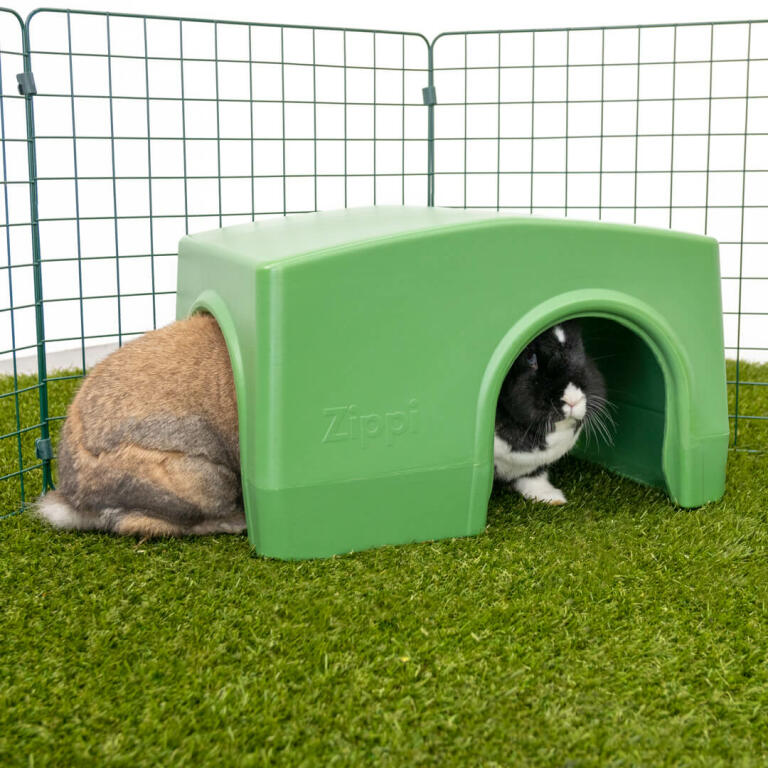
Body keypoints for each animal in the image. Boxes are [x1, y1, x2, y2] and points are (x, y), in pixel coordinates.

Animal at [494, 320, 610, 505]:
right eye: (530, 357)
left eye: (582, 349)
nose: (573, 399)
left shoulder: (535, 466)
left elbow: (533, 479)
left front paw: (552, 498)